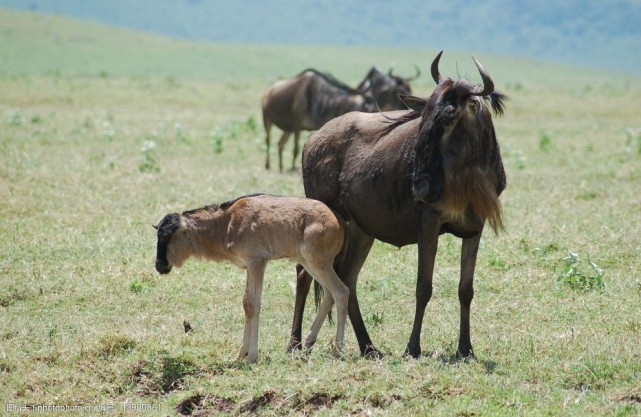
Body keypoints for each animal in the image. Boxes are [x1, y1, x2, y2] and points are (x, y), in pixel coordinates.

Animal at [153, 193, 348, 362]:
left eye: (166, 235)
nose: (159, 266)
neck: (228, 223)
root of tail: (339, 220)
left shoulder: (257, 263)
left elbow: (254, 304)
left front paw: (252, 357)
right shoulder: (249, 266)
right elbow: (246, 303)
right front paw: (240, 355)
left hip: (318, 263)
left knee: (341, 292)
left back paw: (338, 352)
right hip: (309, 263)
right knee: (329, 294)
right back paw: (308, 344)